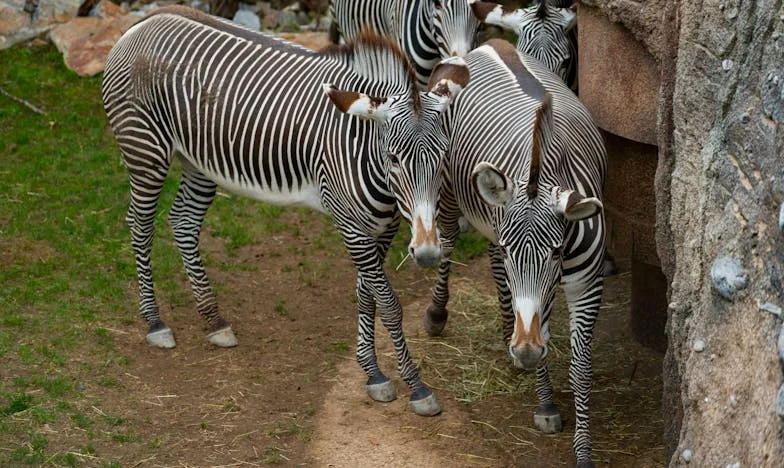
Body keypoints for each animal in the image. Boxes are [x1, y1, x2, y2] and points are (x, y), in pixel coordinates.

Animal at [101, 5, 468, 416]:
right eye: (393, 159)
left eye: (443, 158)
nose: (429, 254)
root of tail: (146, 20)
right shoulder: (352, 227)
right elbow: (388, 304)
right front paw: (416, 386)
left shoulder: (380, 230)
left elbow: (366, 296)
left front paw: (372, 372)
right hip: (145, 152)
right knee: (140, 226)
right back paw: (155, 322)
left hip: (199, 162)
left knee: (183, 222)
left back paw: (213, 320)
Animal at [428, 38, 608, 466]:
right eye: (516, 253)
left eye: (556, 253)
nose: (523, 352)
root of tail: (492, 44)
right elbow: (537, 329)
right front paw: (545, 404)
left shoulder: (587, 284)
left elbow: (580, 367)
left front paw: (583, 451)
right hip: (448, 187)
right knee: (449, 239)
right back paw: (439, 313)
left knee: (494, 268)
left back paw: (506, 324)